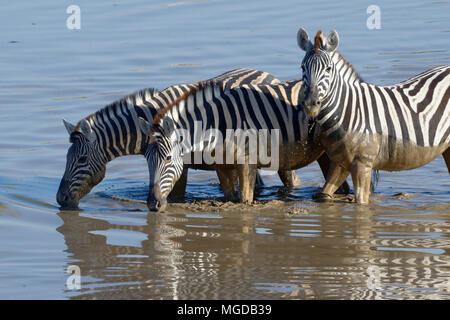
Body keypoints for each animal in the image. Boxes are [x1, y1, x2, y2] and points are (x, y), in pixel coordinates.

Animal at [139, 77, 350, 211]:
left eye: (168, 158)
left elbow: (245, 200)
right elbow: (230, 197)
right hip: (322, 152)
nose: (152, 204)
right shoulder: (222, 166)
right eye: (146, 160)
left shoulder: (248, 161)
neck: (217, 126)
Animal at [298, 26, 448, 202]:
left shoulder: (363, 164)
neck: (347, 111)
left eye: (328, 69)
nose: (310, 104)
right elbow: (325, 194)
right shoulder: (339, 162)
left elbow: (361, 204)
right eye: (302, 68)